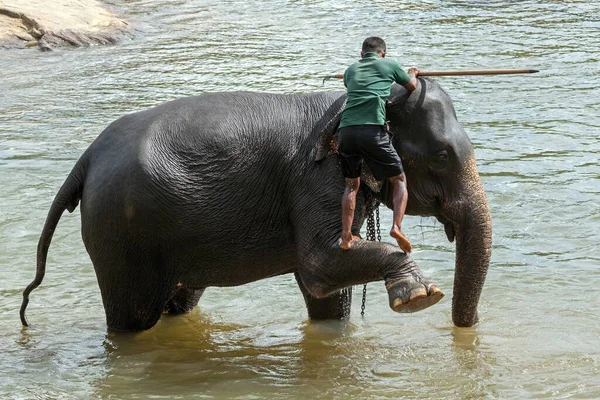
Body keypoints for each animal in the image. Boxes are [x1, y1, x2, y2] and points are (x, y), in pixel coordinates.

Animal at [21, 78, 492, 332]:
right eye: (442, 157)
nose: (466, 331)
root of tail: (86, 158)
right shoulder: (318, 179)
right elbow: (318, 265)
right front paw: (420, 296)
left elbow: (325, 290)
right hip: (121, 233)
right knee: (132, 320)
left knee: (181, 301)